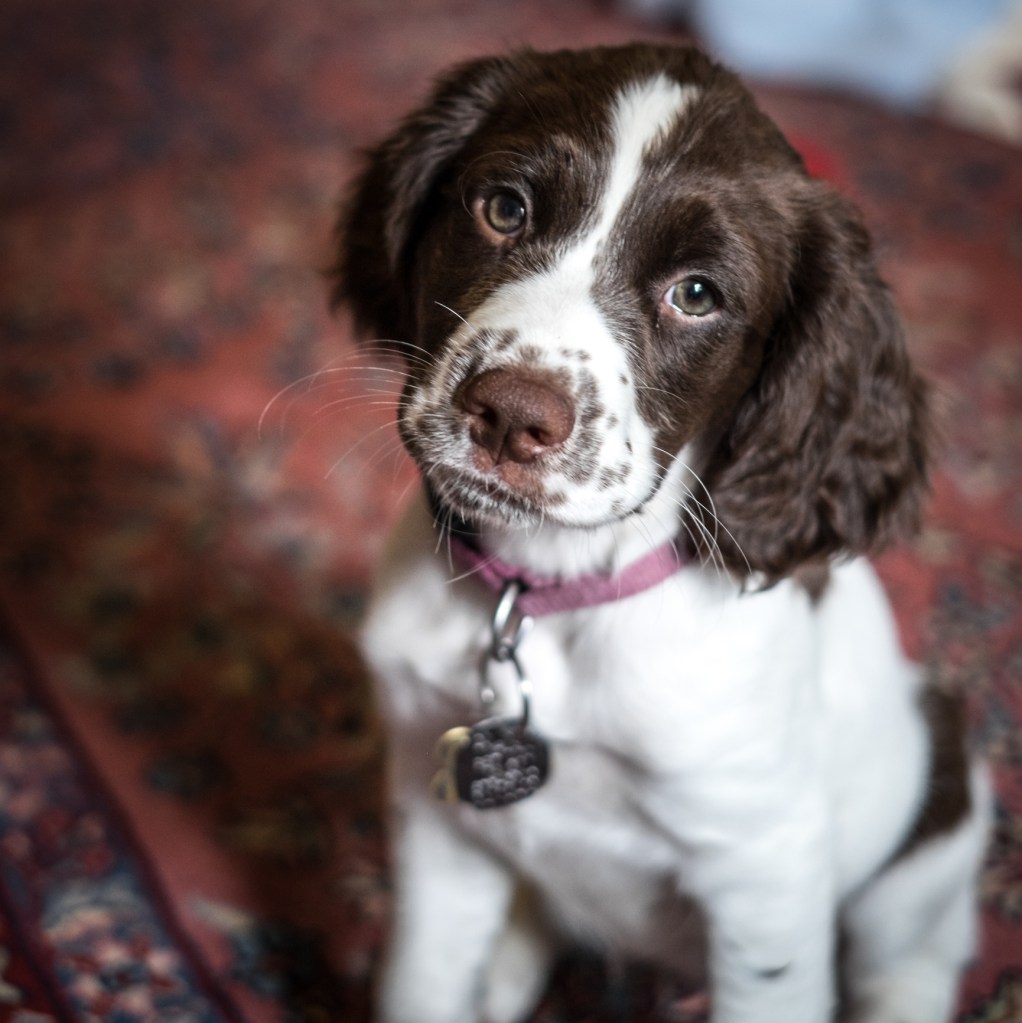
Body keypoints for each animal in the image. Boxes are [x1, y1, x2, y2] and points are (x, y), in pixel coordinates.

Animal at [331, 41, 986, 1023]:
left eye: (697, 294)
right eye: (504, 208)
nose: (509, 415)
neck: (550, 594)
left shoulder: (766, 865)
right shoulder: (431, 792)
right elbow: (423, 979)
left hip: (934, 813)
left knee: (913, 959)